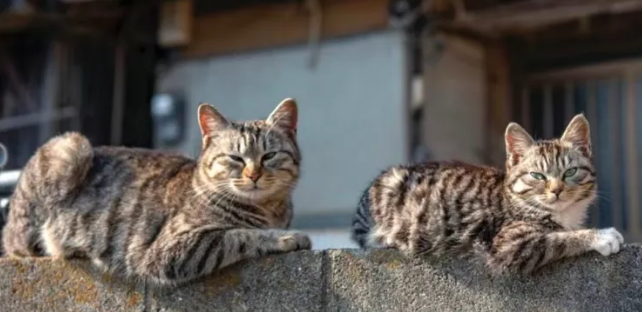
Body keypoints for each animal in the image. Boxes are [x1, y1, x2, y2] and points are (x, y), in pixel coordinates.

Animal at [0, 98, 310, 286]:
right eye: (236, 158)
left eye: (269, 156)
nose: (254, 174)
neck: (268, 210)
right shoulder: (172, 248)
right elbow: (239, 235)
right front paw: (286, 237)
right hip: (70, 146)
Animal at [352, 114, 624, 272]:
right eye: (537, 176)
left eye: (570, 172)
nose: (556, 190)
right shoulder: (510, 243)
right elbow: (558, 239)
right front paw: (600, 235)